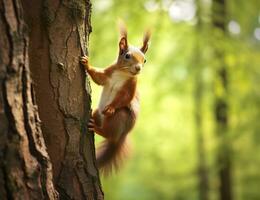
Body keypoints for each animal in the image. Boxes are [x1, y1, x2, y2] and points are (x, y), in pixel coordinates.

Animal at [80, 25, 151, 175]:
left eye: (145, 60)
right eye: (127, 55)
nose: (138, 68)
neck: (123, 73)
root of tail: (120, 139)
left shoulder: (130, 87)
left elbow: (125, 98)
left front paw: (111, 107)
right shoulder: (108, 74)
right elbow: (98, 77)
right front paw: (87, 64)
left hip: (118, 119)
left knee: (109, 134)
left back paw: (97, 127)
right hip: (98, 112)